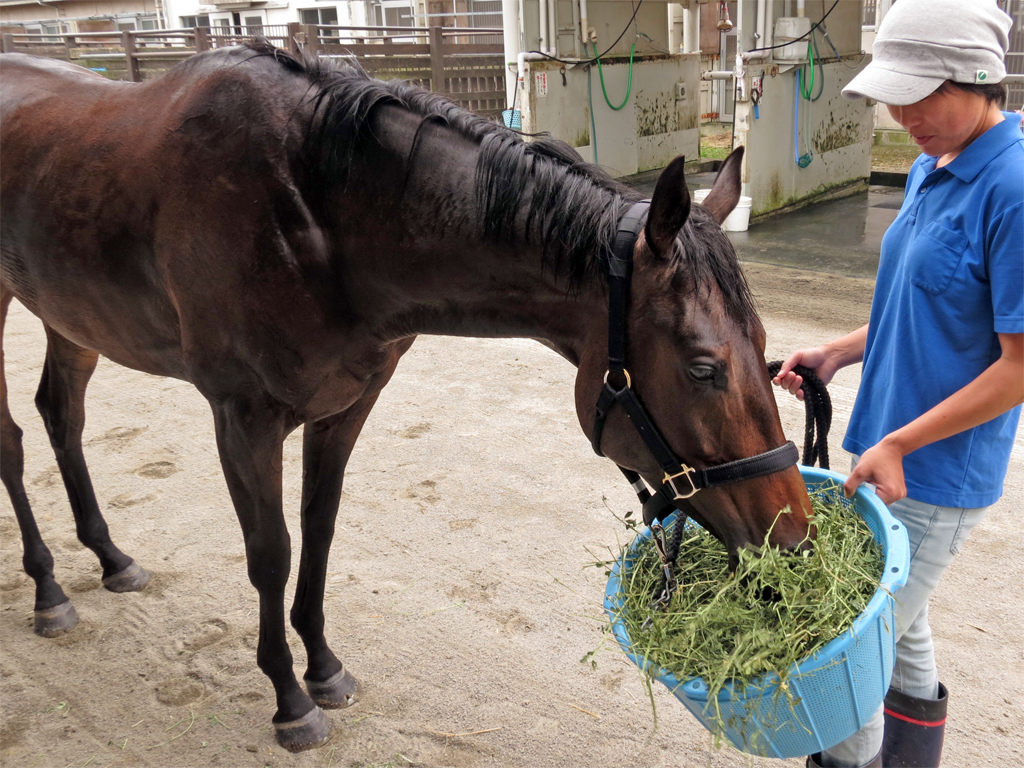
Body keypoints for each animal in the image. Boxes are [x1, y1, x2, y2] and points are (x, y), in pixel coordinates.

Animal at [4, 43, 811, 753]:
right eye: (703, 368)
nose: (797, 547)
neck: (311, 211)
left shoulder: (346, 406)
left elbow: (319, 531)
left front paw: (323, 669)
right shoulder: (243, 418)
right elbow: (271, 553)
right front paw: (290, 700)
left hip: (70, 318)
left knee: (61, 418)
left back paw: (110, 558)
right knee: (15, 440)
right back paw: (48, 590)